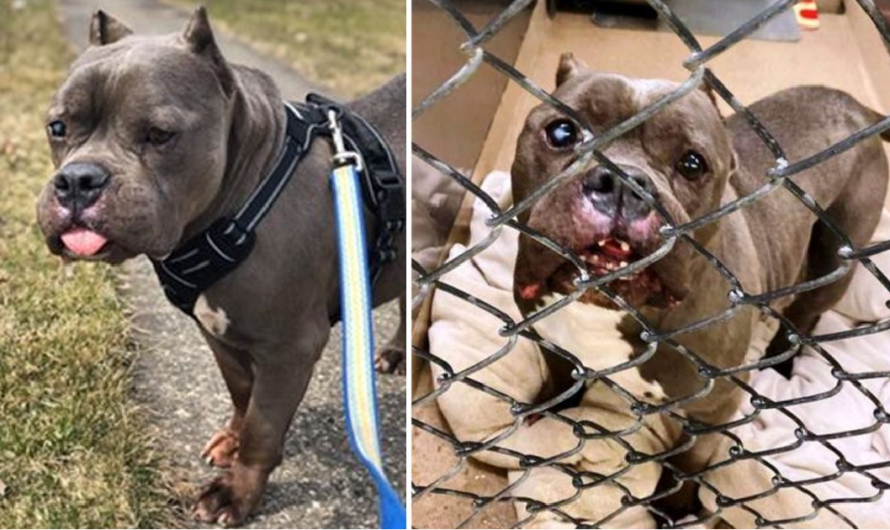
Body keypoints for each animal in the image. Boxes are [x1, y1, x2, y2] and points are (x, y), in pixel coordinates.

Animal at [36, 7, 404, 524]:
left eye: (160, 135)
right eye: (58, 127)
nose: (77, 180)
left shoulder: (290, 349)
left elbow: (263, 430)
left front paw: (237, 493)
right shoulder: (217, 333)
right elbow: (241, 392)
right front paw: (231, 440)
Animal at [426, 55, 888, 524]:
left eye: (692, 163)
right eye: (562, 133)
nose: (621, 183)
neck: (606, 309)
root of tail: (856, 106)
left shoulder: (714, 405)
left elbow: (690, 458)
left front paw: (675, 504)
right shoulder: (548, 336)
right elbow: (559, 376)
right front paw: (549, 408)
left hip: (837, 254)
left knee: (808, 310)